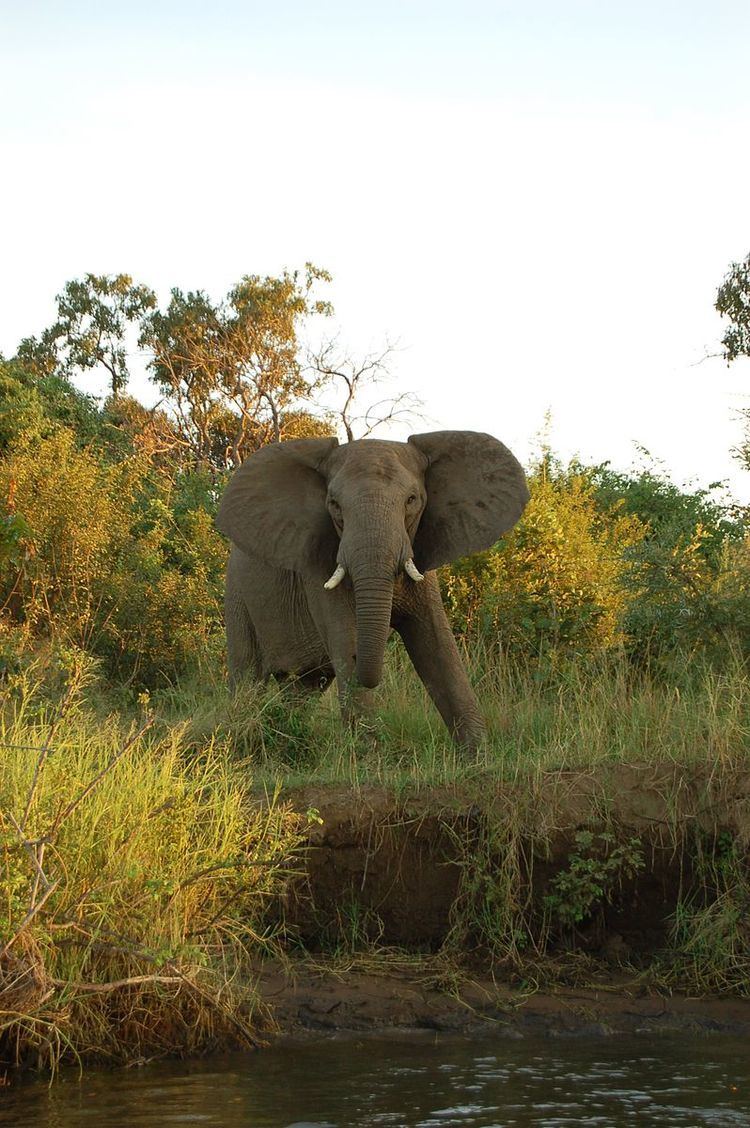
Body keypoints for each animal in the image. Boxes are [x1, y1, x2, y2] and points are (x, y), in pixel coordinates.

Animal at [216, 428, 530, 748]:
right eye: (334, 505)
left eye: (412, 500)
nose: (367, 669)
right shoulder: (319, 573)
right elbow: (346, 640)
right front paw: (368, 755)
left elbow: (438, 648)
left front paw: (479, 754)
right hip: (237, 597)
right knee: (247, 677)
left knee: (303, 687)